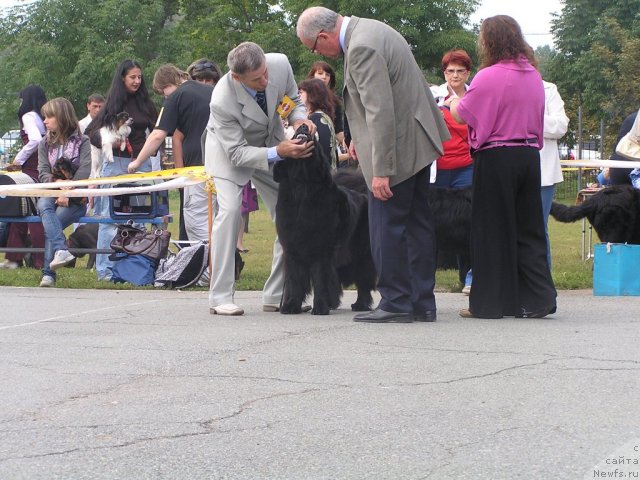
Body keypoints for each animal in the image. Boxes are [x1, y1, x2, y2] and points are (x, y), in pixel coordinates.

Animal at [274, 124, 376, 316]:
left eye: (314, 138)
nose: (304, 125)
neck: (302, 187)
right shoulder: (292, 249)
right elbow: (294, 280)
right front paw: (291, 306)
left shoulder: (322, 250)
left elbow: (321, 278)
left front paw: (320, 307)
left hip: (361, 253)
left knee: (363, 279)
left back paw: (360, 304)